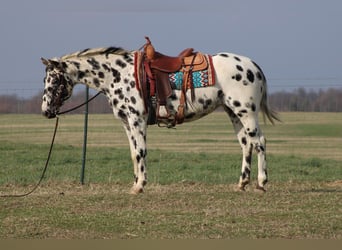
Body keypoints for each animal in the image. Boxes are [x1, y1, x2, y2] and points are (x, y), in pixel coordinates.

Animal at [41, 42, 280, 193]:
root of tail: (253, 67)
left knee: (259, 142)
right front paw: (135, 183)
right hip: (234, 113)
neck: (118, 74)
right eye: (46, 79)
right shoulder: (126, 123)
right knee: (246, 144)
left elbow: (141, 151)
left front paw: (140, 186)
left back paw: (261, 182)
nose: (45, 111)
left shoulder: (137, 119)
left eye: (54, 80)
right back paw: (242, 183)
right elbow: (133, 153)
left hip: (246, 112)